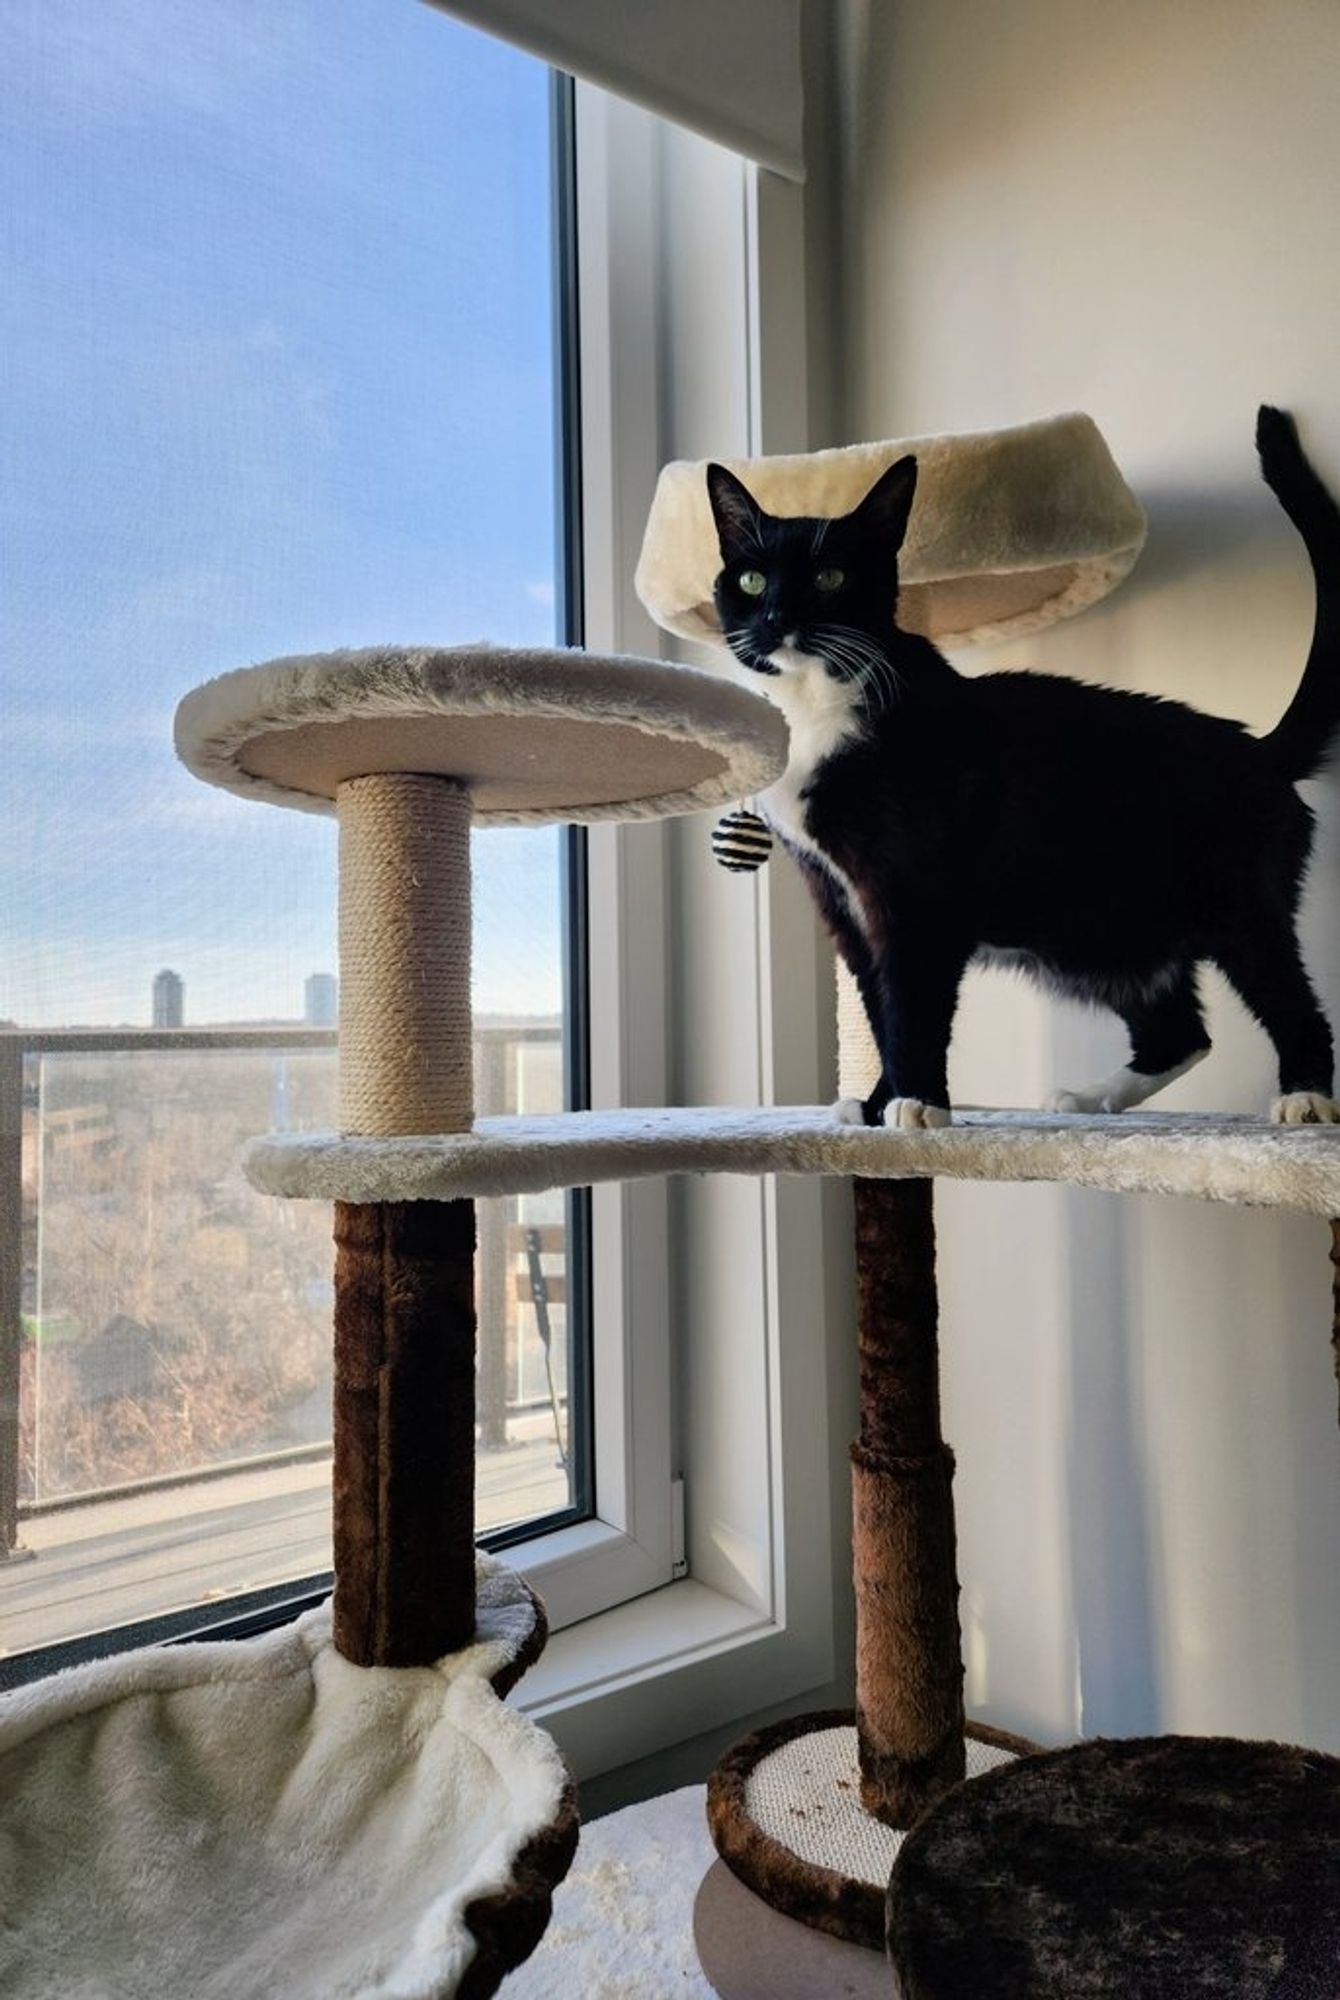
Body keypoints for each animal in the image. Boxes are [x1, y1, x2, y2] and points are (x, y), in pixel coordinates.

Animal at [708, 406, 1340, 1128]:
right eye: (752, 579)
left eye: (830, 578)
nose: (777, 616)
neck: (820, 702)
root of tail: (1258, 749)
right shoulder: (841, 899)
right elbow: (876, 1001)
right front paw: (876, 1105)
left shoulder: (916, 893)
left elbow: (912, 1002)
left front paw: (919, 1105)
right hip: (1097, 929)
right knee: (1180, 1030)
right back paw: (1094, 1098)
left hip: (1234, 904)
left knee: (1288, 996)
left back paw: (1306, 1097)